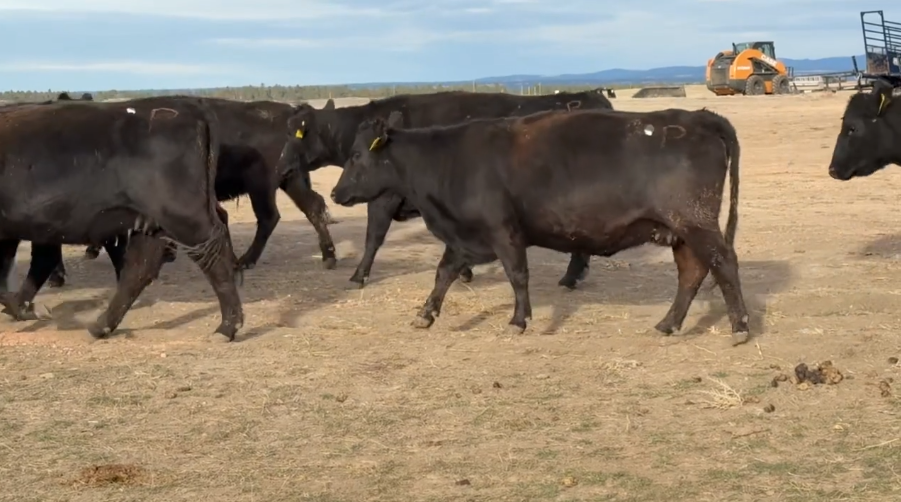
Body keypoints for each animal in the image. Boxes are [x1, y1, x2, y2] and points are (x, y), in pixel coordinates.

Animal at [0, 99, 244, 340]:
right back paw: (100, 325)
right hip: (151, 223)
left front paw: (27, 309)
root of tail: (189, 106)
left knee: (213, 256)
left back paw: (226, 328)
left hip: (184, 218)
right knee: (139, 268)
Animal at [46, 95, 337, 289]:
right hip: (291, 180)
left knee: (269, 217)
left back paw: (246, 260)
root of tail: (290, 110)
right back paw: (329, 256)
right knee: (312, 207)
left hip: (262, 186)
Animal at [278, 88, 615, 289]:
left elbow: (373, 237)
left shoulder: (385, 197)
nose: (281, 167)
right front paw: (464, 272)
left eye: (297, 134)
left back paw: (571, 276)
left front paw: (359, 275)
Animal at [329, 108, 751, 345]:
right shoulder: (464, 236)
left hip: (696, 223)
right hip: (681, 231)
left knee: (724, 263)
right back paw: (668, 324)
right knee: (692, 273)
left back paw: (740, 327)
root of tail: (699, 116)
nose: (335, 192)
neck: (446, 160)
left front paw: (519, 321)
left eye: (356, 155)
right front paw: (426, 314)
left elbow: (518, 275)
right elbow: (443, 273)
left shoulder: (504, 232)